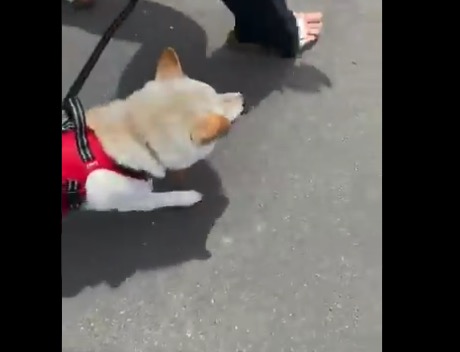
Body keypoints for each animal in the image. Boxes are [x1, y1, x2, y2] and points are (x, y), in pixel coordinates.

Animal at [63, 47, 246, 216]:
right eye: (223, 112)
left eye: (218, 93)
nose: (242, 97)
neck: (135, 133)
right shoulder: (128, 200)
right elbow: (161, 199)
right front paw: (188, 197)